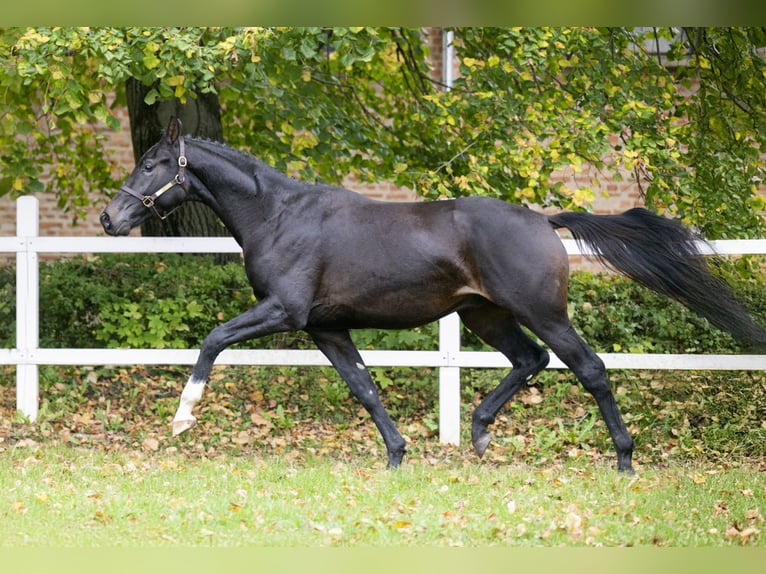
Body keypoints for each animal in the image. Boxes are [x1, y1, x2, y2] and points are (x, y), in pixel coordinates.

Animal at [102, 117, 766, 472]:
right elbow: (364, 387)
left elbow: (213, 339)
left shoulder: (284, 313)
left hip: (541, 312)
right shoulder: (324, 326)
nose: (111, 219)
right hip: (484, 317)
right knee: (531, 361)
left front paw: (182, 418)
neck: (279, 216)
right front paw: (397, 456)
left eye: (153, 164)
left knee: (589, 368)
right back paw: (479, 434)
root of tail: (544, 220)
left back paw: (624, 459)